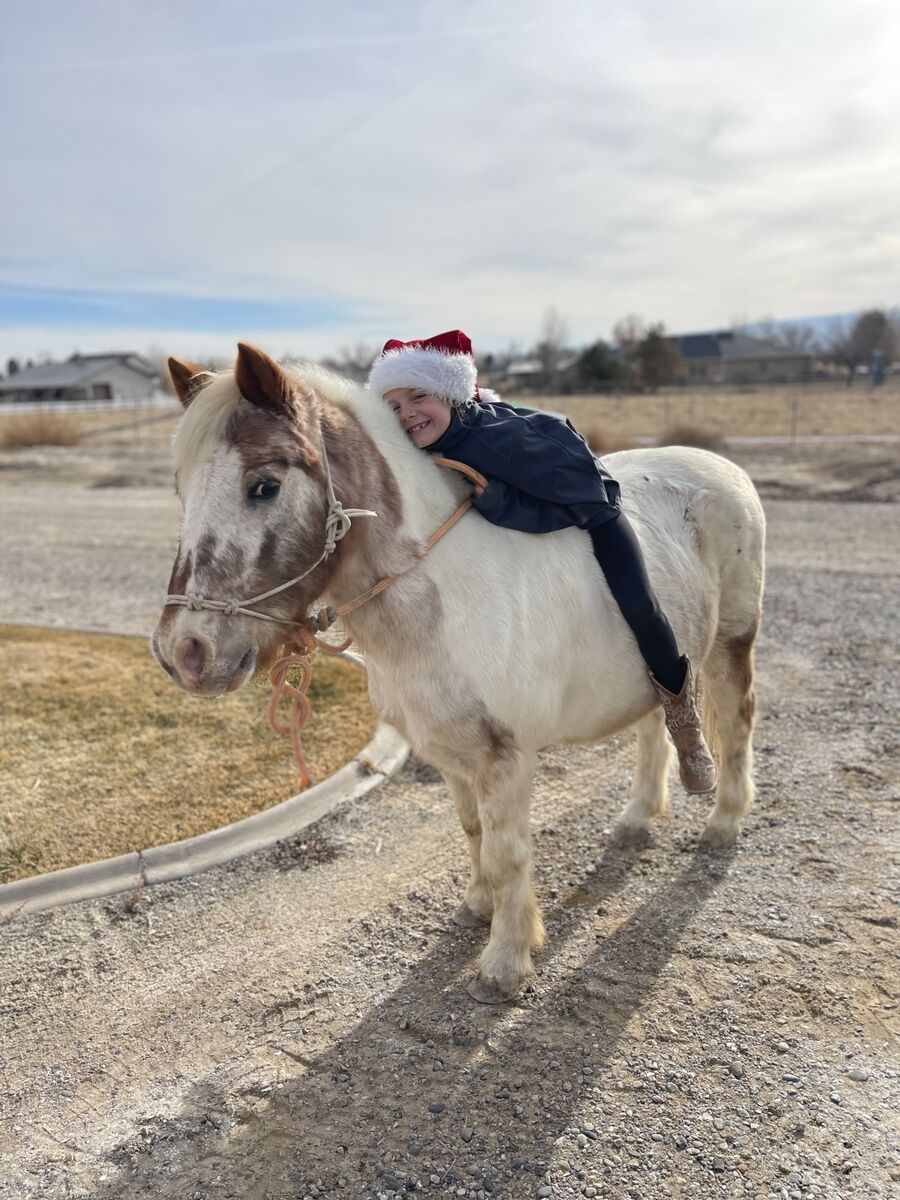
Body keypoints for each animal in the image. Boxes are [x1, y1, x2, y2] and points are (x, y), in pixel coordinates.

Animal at [152, 343, 765, 1004]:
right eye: (181, 489)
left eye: (264, 486)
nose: (183, 651)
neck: (445, 595)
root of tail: (720, 466)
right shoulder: (447, 750)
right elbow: (473, 833)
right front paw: (477, 907)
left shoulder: (507, 758)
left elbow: (507, 853)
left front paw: (505, 962)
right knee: (655, 718)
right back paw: (636, 818)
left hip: (731, 642)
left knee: (735, 723)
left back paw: (723, 822)